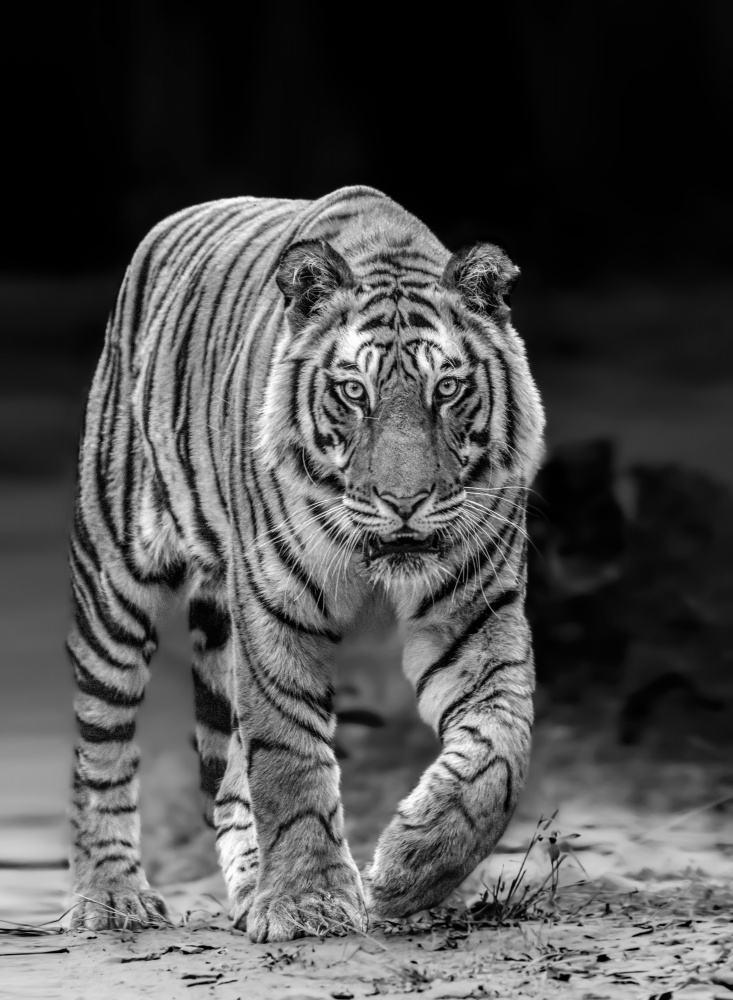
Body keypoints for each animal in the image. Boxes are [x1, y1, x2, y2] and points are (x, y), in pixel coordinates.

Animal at [67, 184, 545, 942]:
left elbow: (502, 746)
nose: (404, 501)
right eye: (354, 393)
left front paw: (408, 869)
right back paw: (111, 898)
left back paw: (247, 884)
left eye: (445, 390)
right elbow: (288, 756)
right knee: (101, 742)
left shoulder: (476, 612)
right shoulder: (275, 607)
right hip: (114, 573)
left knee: (226, 773)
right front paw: (307, 903)